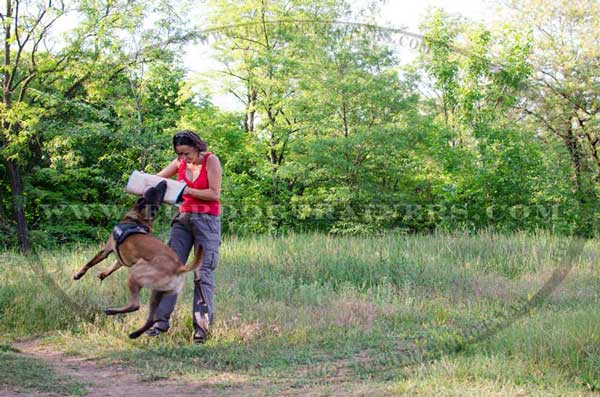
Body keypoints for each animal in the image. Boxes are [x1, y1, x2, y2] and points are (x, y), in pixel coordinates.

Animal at [72, 180, 204, 338]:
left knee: (135, 305)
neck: (138, 220)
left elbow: (89, 263)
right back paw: (135, 334)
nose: (164, 181)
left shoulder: (106, 249)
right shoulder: (120, 258)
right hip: (157, 293)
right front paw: (102, 274)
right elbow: (112, 267)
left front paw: (78, 275)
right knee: (152, 318)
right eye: (157, 190)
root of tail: (179, 266)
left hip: (135, 273)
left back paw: (112, 311)